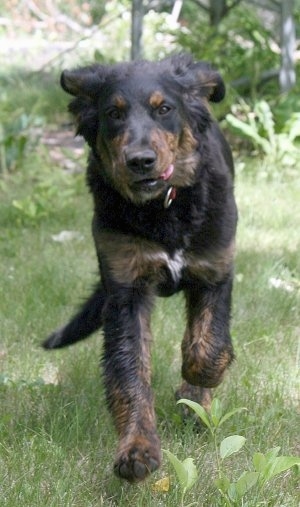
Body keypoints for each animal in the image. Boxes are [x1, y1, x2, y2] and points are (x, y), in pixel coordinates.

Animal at [43, 54, 238, 484]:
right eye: (113, 114)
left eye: (164, 109)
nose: (140, 161)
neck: (163, 207)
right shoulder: (124, 289)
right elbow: (129, 372)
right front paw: (137, 450)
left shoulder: (214, 269)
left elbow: (206, 346)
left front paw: (198, 384)